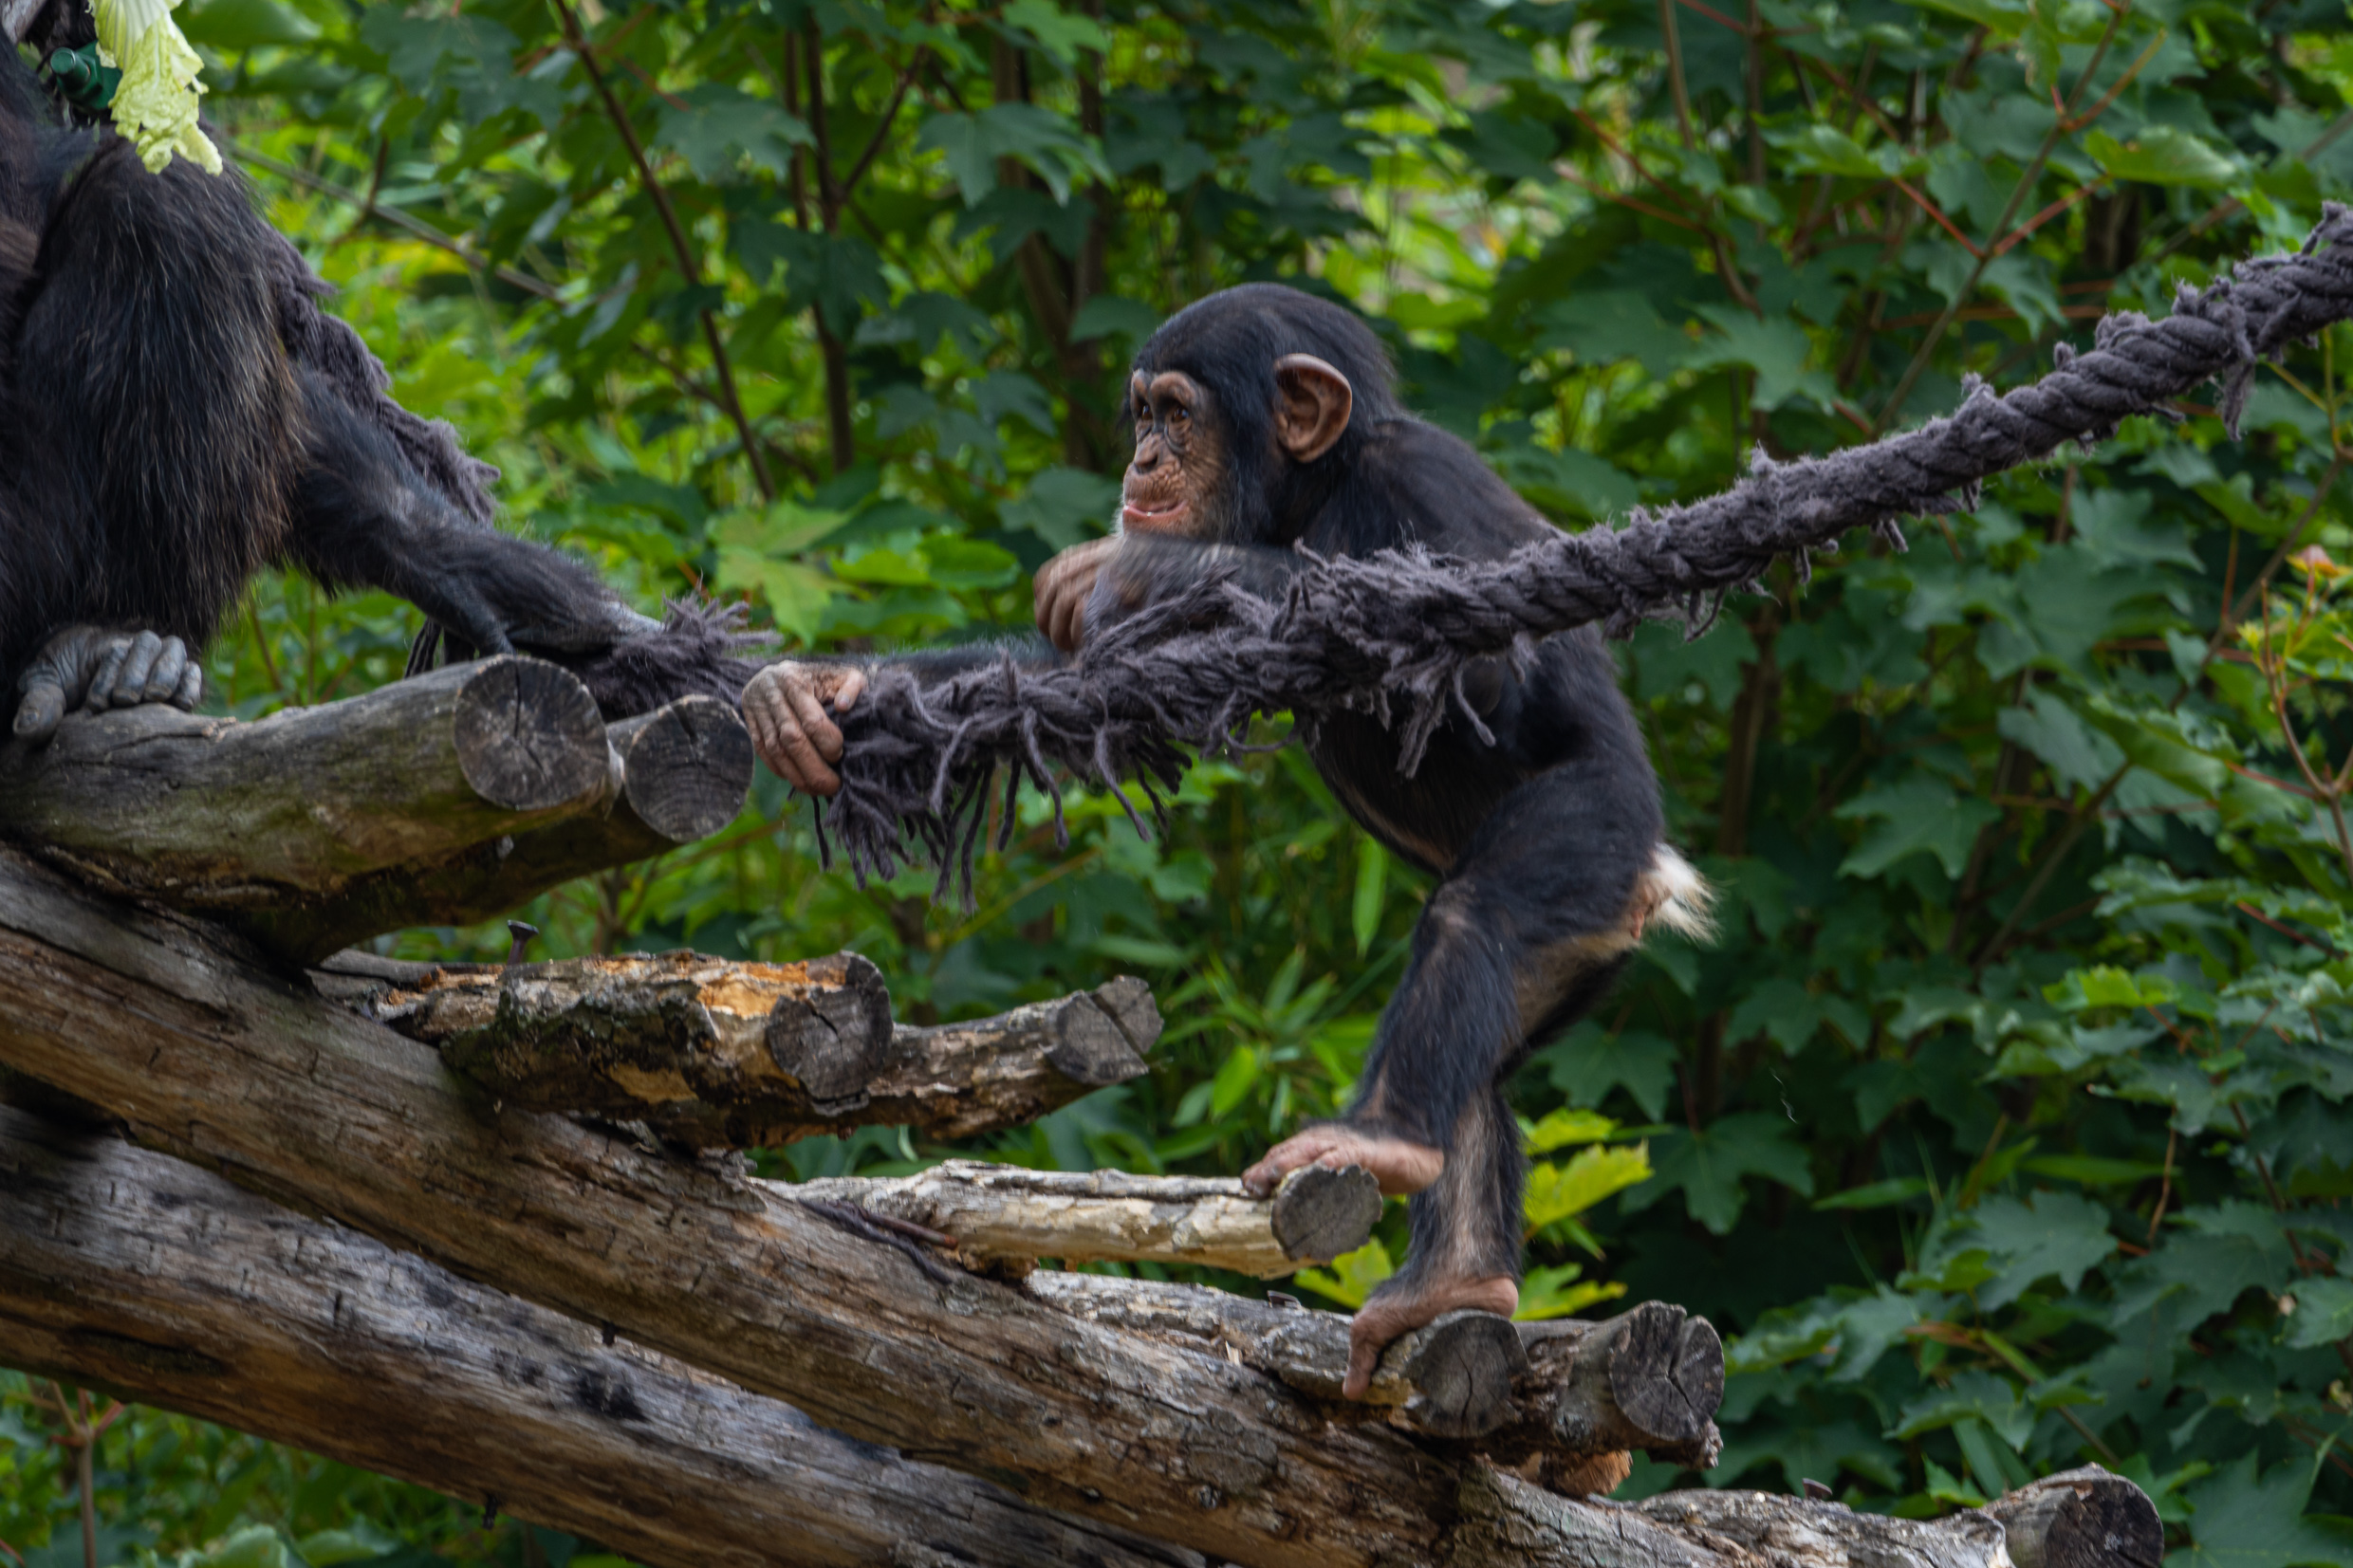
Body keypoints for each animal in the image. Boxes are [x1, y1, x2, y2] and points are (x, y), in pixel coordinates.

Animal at [743, 283, 1711, 1395]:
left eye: (1176, 413)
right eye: (1142, 414)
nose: (1141, 462)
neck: (1317, 492)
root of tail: (1654, 878)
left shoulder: (1426, 487)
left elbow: (1487, 664)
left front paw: (1142, 565)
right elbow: (1065, 693)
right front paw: (820, 688)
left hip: (1593, 833)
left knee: (1477, 913)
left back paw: (1384, 1141)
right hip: (1575, 954)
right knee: (1483, 1056)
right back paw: (1453, 1281)